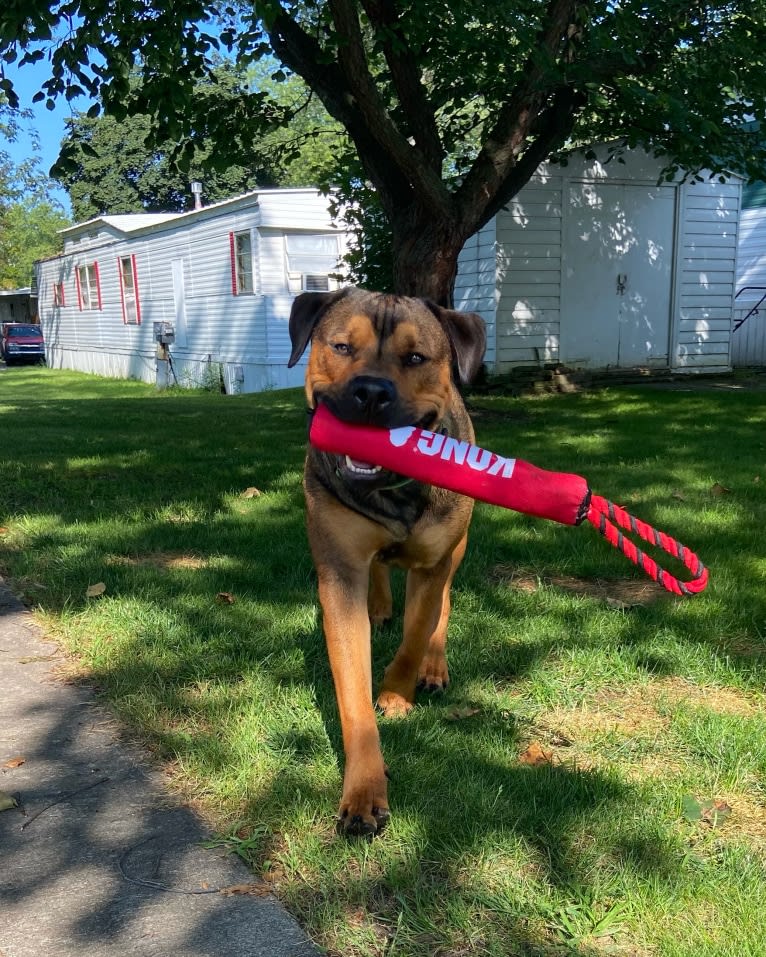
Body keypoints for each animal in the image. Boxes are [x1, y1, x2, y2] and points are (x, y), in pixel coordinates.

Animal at [288, 288, 486, 832]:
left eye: (415, 358)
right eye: (341, 346)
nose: (371, 392)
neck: (391, 491)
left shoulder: (435, 560)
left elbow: (418, 630)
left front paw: (397, 694)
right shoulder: (338, 572)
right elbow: (351, 689)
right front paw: (362, 794)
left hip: (458, 547)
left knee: (443, 607)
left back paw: (433, 667)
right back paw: (378, 605)